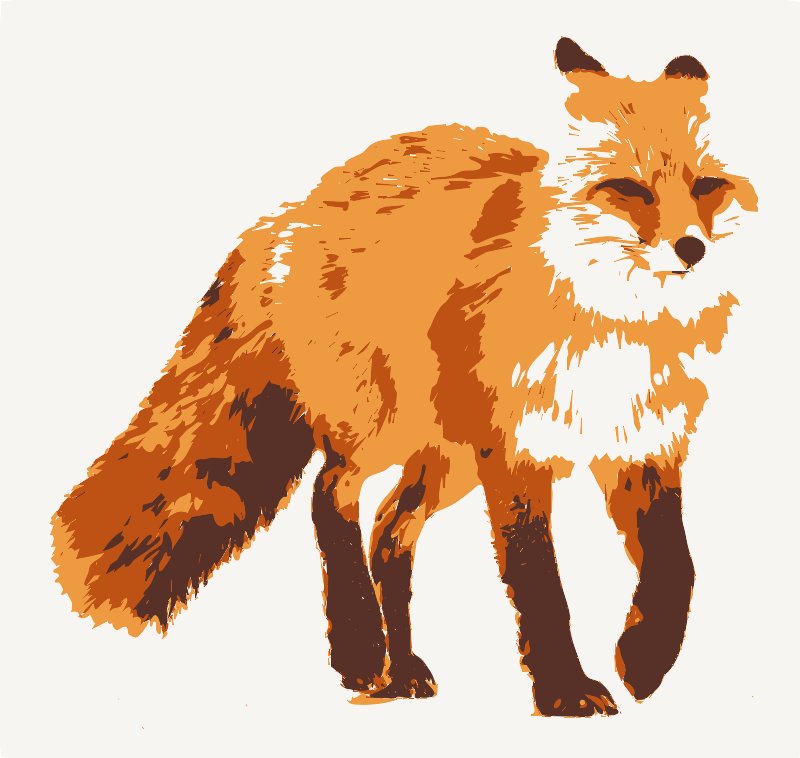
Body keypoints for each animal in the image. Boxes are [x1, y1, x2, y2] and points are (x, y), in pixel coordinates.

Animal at [52, 38, 757, 717]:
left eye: (706, 186)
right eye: (630, 190)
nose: (691, 248)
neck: (615, 328)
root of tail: (290, 211)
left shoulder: (643, 445)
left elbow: (679, 569)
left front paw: (645, 660)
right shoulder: (514, 454)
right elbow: (540, 582)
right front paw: (563, 688)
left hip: (448, 458)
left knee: (389, 534)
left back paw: (401, 669)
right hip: (387, 426)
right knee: (330, 495)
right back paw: (361, 649)